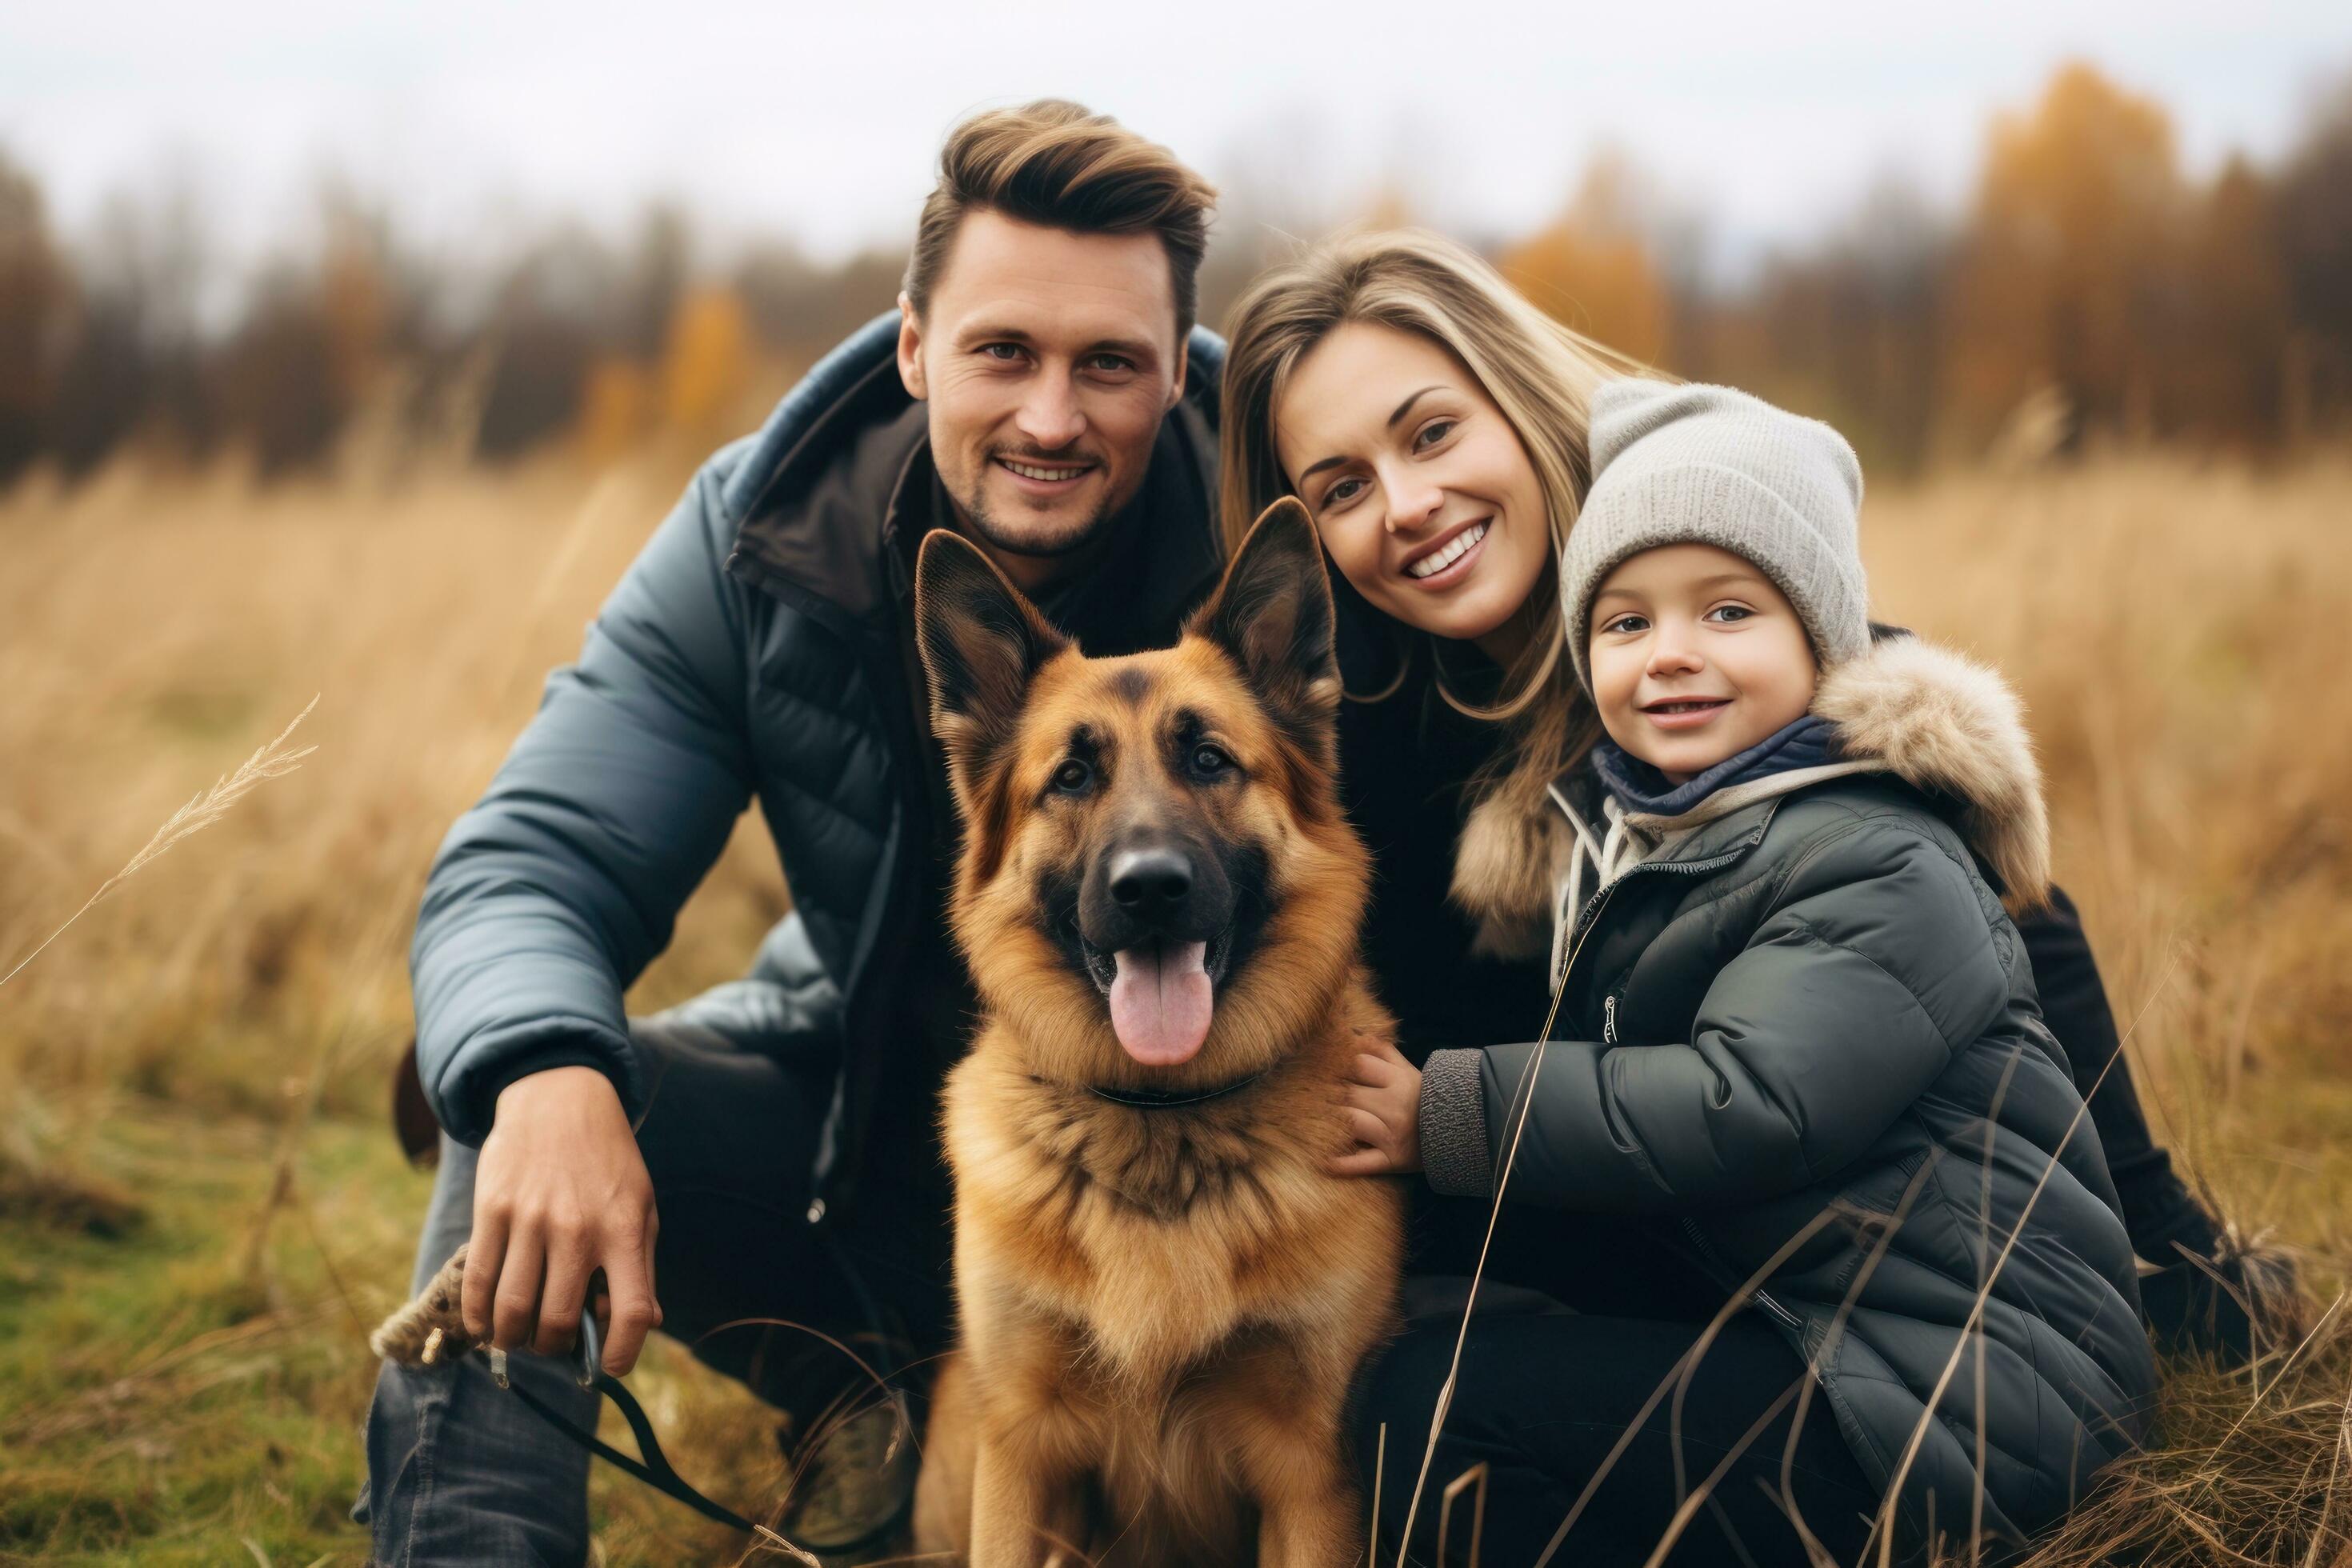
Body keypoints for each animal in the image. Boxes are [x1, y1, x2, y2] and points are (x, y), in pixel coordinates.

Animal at [907, 505, 1402, 1568]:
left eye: (1209, 760)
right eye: (1072, 776)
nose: (1151, 888)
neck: (1163, 1127)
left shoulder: (1312, 1476)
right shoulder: (1021, 1456)